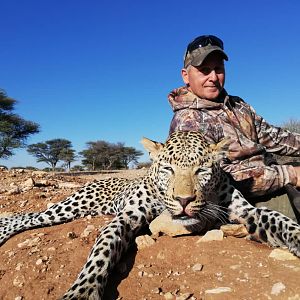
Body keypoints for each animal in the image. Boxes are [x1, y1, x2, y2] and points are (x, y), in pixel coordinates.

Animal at [0, 132, 298, 300]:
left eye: (202, 170)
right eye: (167, 169)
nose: (184, 200)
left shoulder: (246, 210)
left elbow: (275, 217)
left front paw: (295, 237)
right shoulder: (126, 216)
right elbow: (102, 251)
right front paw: (81, 293)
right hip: (72, 206)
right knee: (29, 215)